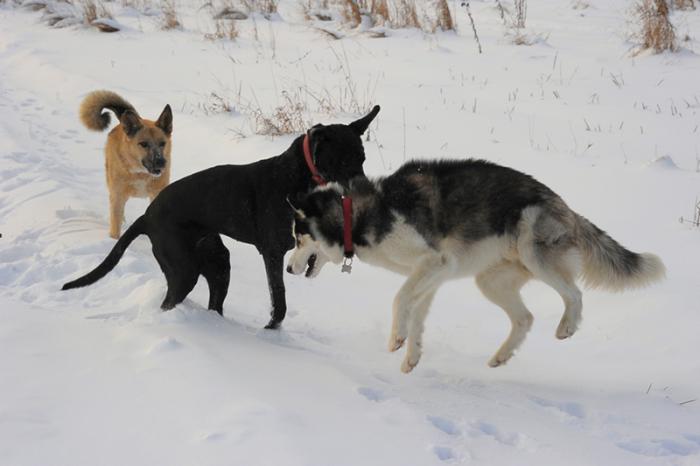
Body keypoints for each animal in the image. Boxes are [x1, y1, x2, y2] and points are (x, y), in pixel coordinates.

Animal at [63, 106, 380, 329]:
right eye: (343, 160)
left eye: (363, 159)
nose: (367, 193)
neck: (301, 176)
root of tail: (146, 216)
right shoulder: (272, 252)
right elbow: (279, 300)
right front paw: (271, 329)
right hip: (183, 268)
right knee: (170, 300)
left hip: (216, 261)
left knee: (214, 298)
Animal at [80, 90, 173, 238]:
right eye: (143, 144)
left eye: (162, 143)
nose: (161, 162)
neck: (140, 173)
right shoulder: (117, 196)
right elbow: (115, 225)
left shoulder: (157, 195)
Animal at [286, 159, 666, 372]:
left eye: (298, 238)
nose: (288, 269)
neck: (356, 214)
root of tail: (565, 206)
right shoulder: (431, 275)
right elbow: (415, 314)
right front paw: (411, 357)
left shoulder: (434, 262)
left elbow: (399, 300)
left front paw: (396, 338)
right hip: (491, 280)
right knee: (525, 318)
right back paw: (501, 356)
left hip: (534, 251)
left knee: (574, 294)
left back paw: (566, 327)